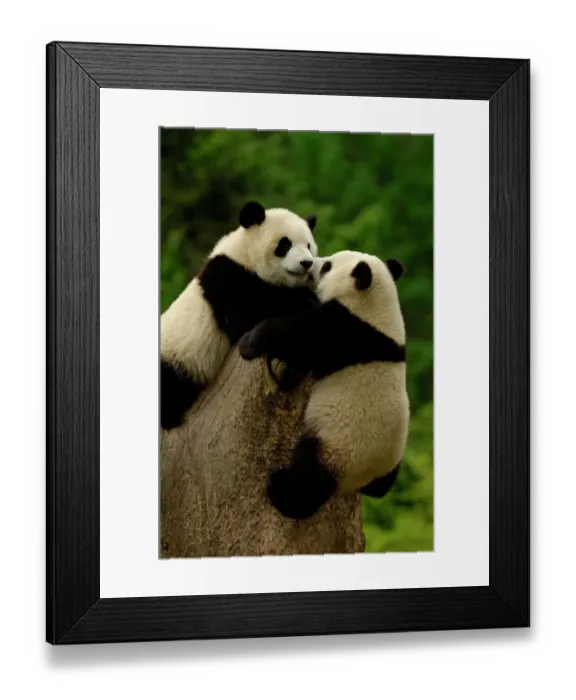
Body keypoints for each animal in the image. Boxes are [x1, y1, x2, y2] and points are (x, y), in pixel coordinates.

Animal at [160, 201, 319, 431]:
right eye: (284, 245)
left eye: (308, 245)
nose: (306, 262)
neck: (244, 256)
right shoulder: (227, 280)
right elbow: (250, 316)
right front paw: (304, 300)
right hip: (177, 358)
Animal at [238, 250, 409, 520]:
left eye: (327, 266)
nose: (309, 264)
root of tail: (359, 480)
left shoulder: (346, 331)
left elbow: (298, 338)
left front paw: (250, 343)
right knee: (383, 486)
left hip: (335, 448)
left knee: (308, 479)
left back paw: (280, 491)